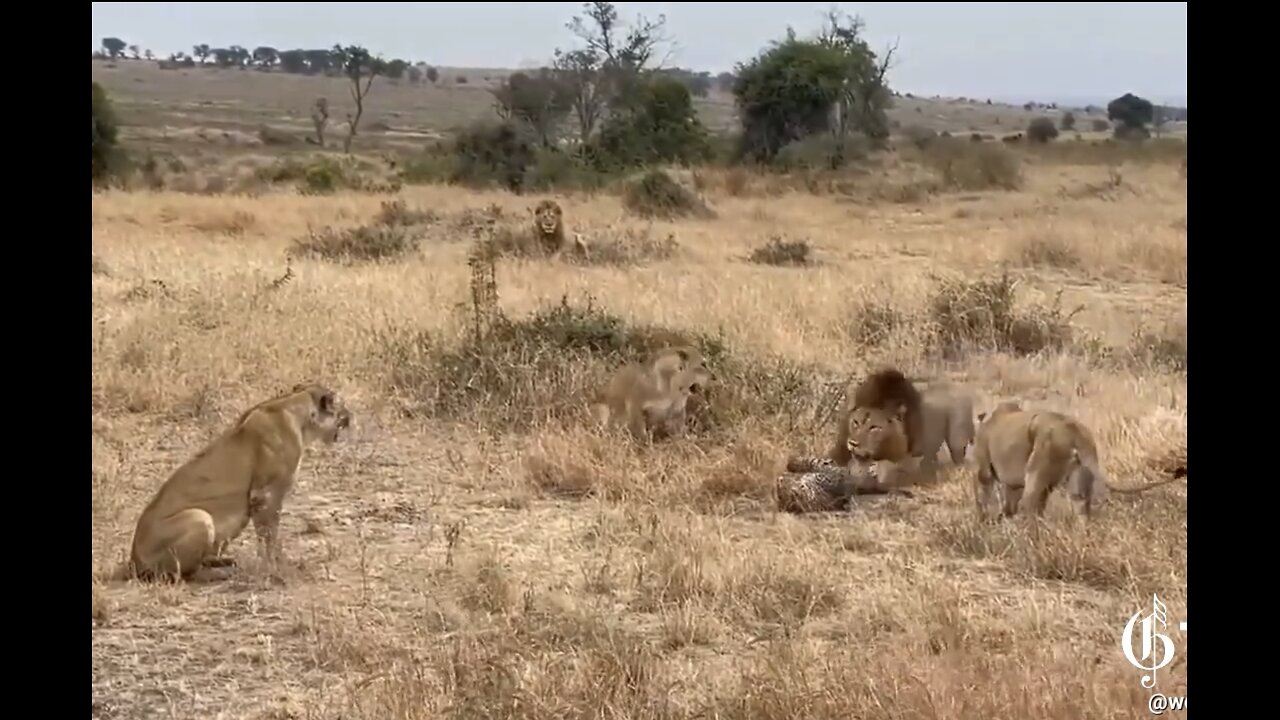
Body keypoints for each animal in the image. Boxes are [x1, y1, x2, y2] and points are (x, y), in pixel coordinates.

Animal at [126, 381, 353, 576]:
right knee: (179, 573)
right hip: (200, 517)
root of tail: (132, 559)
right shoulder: (265, 494)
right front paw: (276, 565)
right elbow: (269, 536)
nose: (352, 417)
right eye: (343, 408)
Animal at [977, 397, 1177, 520]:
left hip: (1037, 472)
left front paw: (987, 521)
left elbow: (986, 494)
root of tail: (1075, 431)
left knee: (1033, 508)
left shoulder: (985, 468)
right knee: (1080, 508)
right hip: (1079, 475)